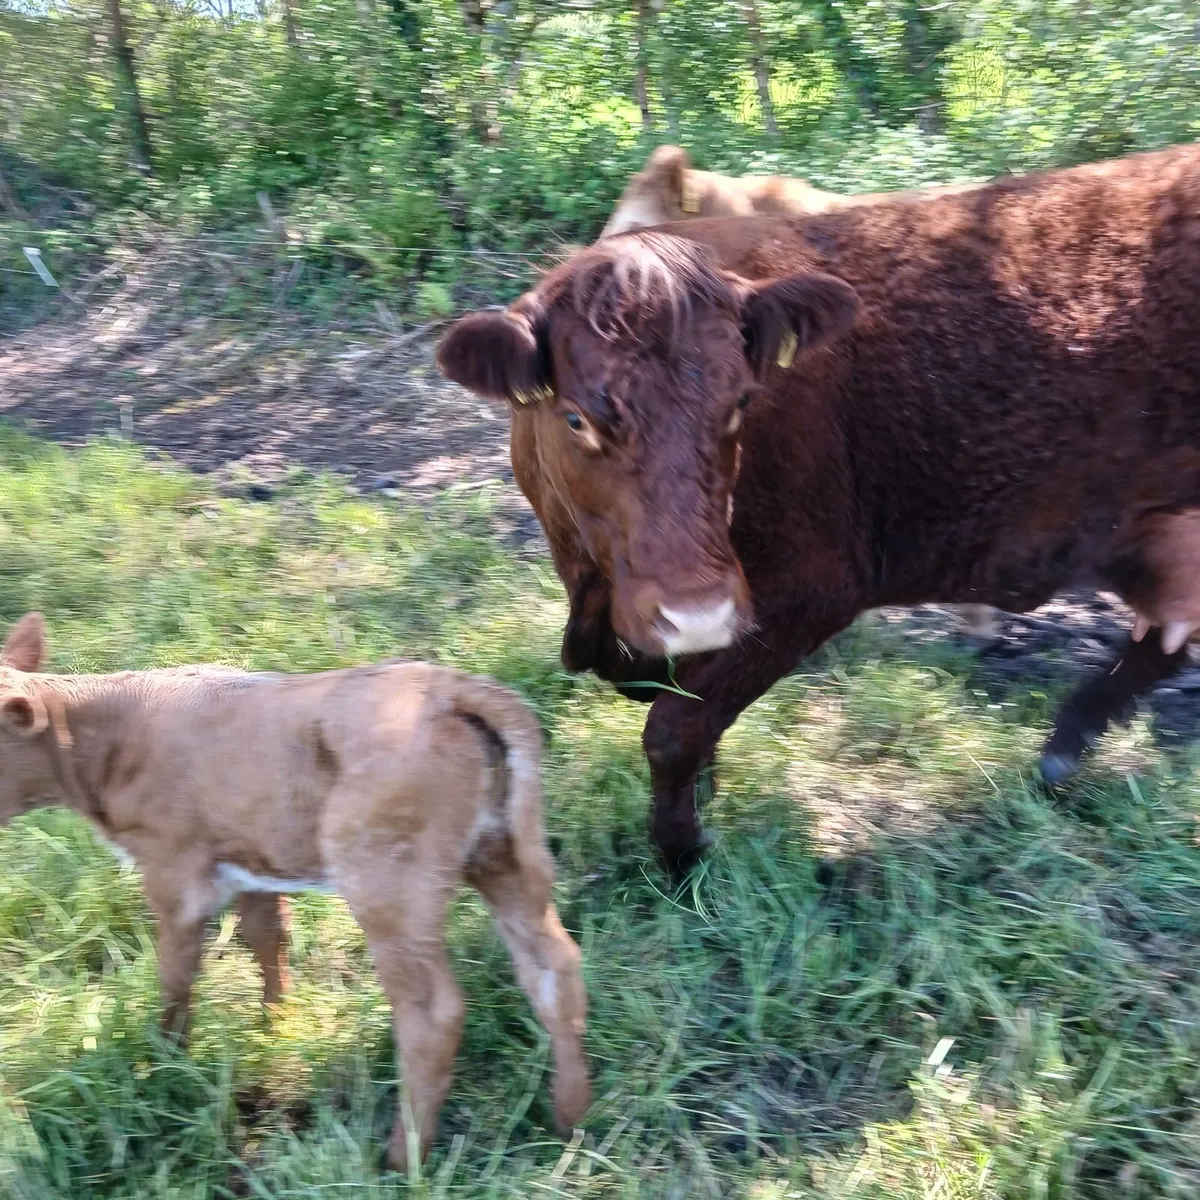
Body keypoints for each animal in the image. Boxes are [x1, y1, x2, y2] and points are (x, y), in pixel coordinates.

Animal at [0, 613, 589, 1168]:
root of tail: (447, 686)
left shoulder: (174, 870)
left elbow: (175, 976)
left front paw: (162, 1063)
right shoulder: (253, 861)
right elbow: (266, 937)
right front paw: (276, 1024)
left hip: (386, 881)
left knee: (432, 1013)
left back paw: (403, 1159)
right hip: (502, 855)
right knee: (553, 965)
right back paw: (571, 1118)